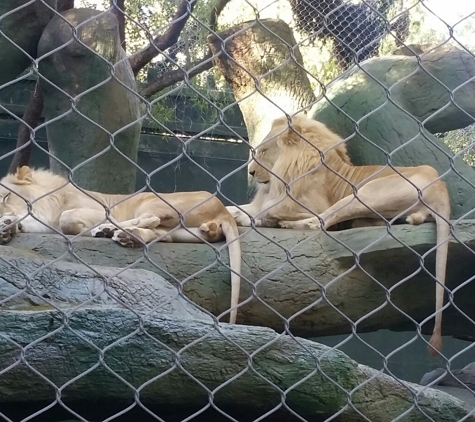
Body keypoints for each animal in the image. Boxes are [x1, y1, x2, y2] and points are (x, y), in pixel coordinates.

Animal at [0, 166, 244, 324]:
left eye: (4, 197)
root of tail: (222, 208)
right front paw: (7, 227)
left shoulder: (96, 210)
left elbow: (66, 218)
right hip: (181, 231)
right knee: (162, 233)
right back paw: (127, 236)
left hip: (153, 200)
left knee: (152, 219)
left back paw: (112, 230)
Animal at [229, 114, 452, 356]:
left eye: (263, 151)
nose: (251, 172)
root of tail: (440, 188)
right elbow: (243, 207)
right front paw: (232, 211)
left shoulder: (308, 205)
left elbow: (270, 210)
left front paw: (254, 218)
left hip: (362, 193)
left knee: (321, 222)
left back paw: (288, 224)